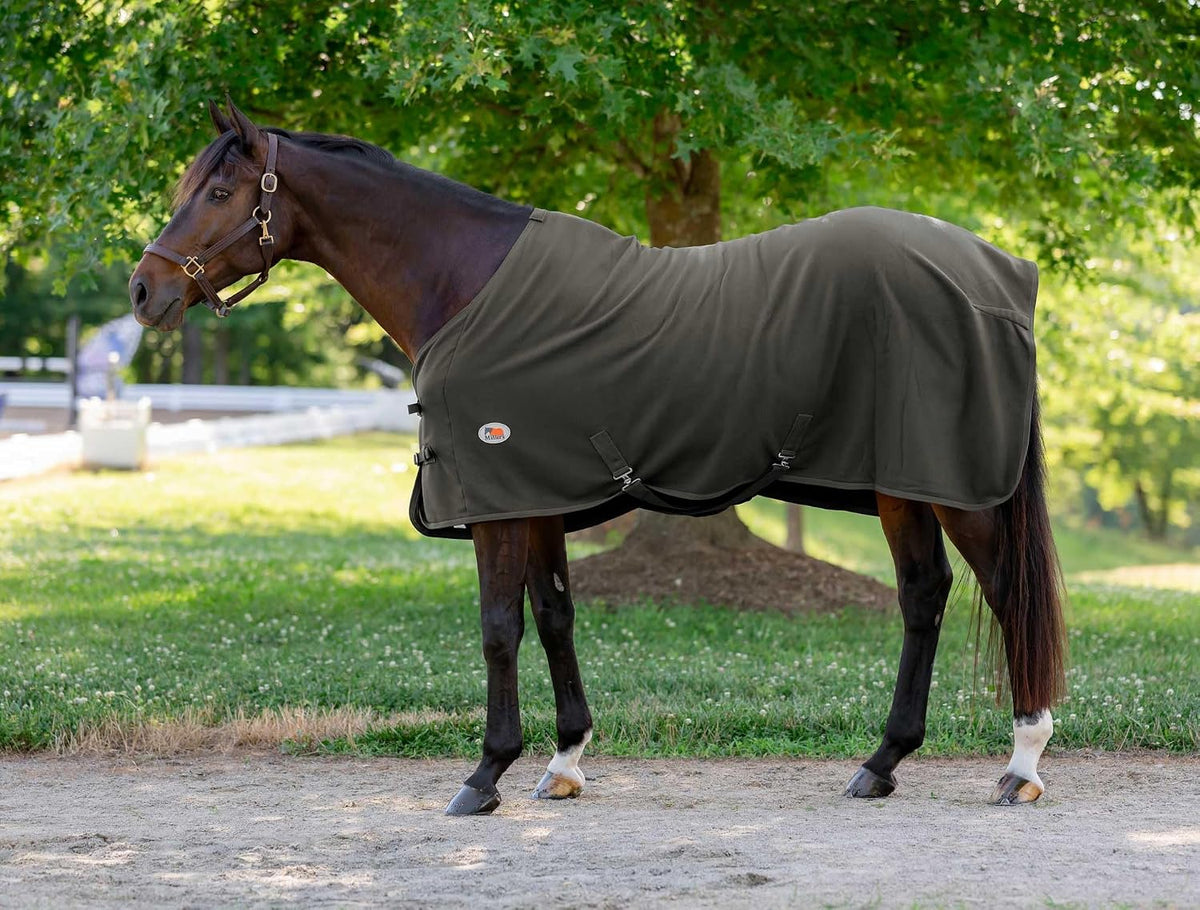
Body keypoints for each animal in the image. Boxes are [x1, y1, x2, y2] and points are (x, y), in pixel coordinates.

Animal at [130, 100, 1066, 816]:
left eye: (221, 190)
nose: (145, 291)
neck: (465, 283)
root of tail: (1002, 274)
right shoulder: (537, 496)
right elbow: (554, 618)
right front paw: (564, 763)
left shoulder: (496, 502)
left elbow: (498, 629)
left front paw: (485, 773)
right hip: (904, 486)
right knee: (924, 597)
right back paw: (882, 763)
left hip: (960, 491)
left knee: (1004, 593)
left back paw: (1020, 765)